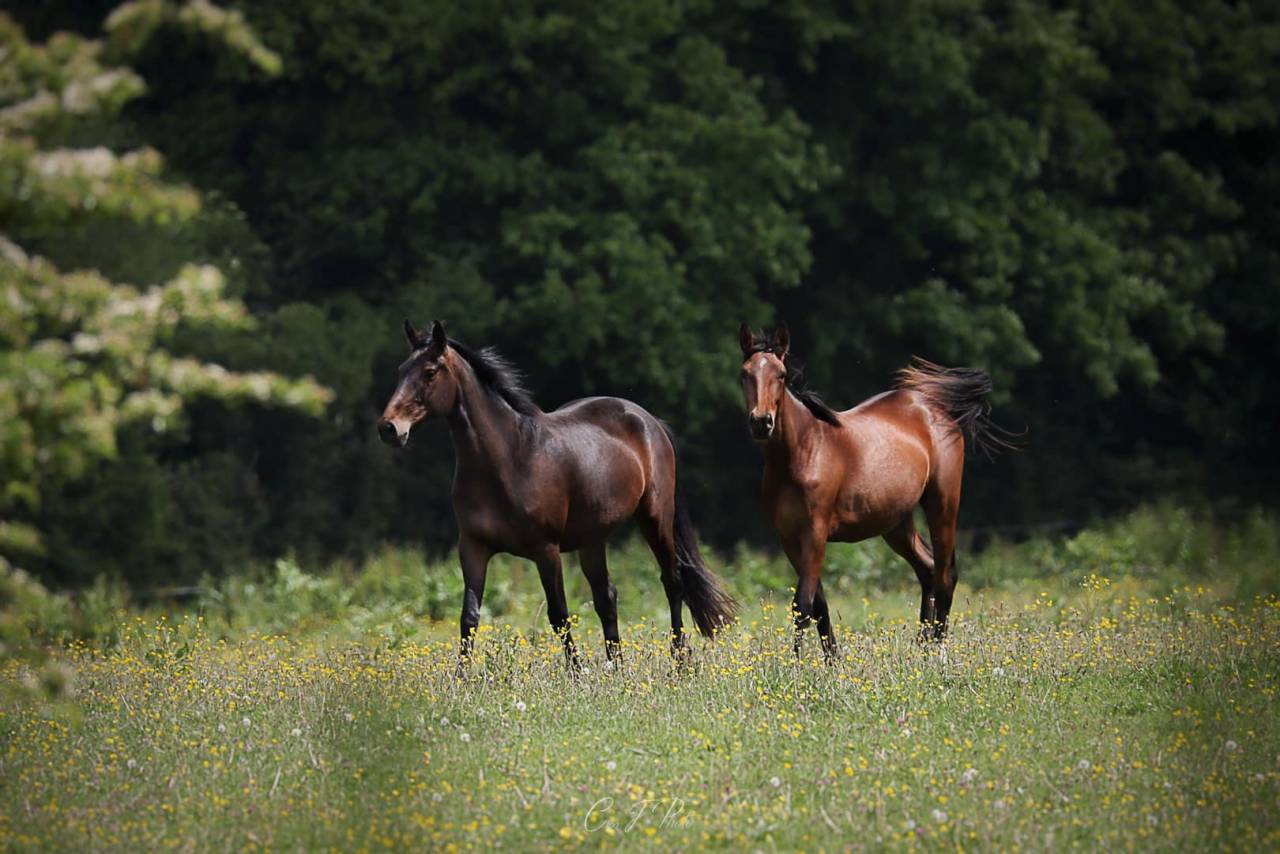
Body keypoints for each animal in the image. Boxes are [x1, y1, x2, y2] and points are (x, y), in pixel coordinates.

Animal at [378, 319, 737, 670]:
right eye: (400, 370)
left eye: (429, 372)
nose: (388, 428)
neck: (508, 458)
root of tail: (651, 422)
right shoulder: (473, 548)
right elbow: (469, 617)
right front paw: (460, 680)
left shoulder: (546, 550)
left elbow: (559, 616)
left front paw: (577, 674)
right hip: (593, 539)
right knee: (607, 597)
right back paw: (618, 669)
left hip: (655, 519)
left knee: (672, 582)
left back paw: (679, 662)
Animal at [738, 323, 1014, 655]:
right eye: (744, 373)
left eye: (780, 374)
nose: (761, 422)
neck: (802, 452)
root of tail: (933, 407)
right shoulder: (789, 539)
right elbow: (818, 605)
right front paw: (831, 660)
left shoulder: (815, 534)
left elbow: (803, 604)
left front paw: (798, 662)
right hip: (897, 524)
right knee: (928, 569)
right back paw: (921, 648)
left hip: (943, 505)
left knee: (946, 575)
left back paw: (938, 651)